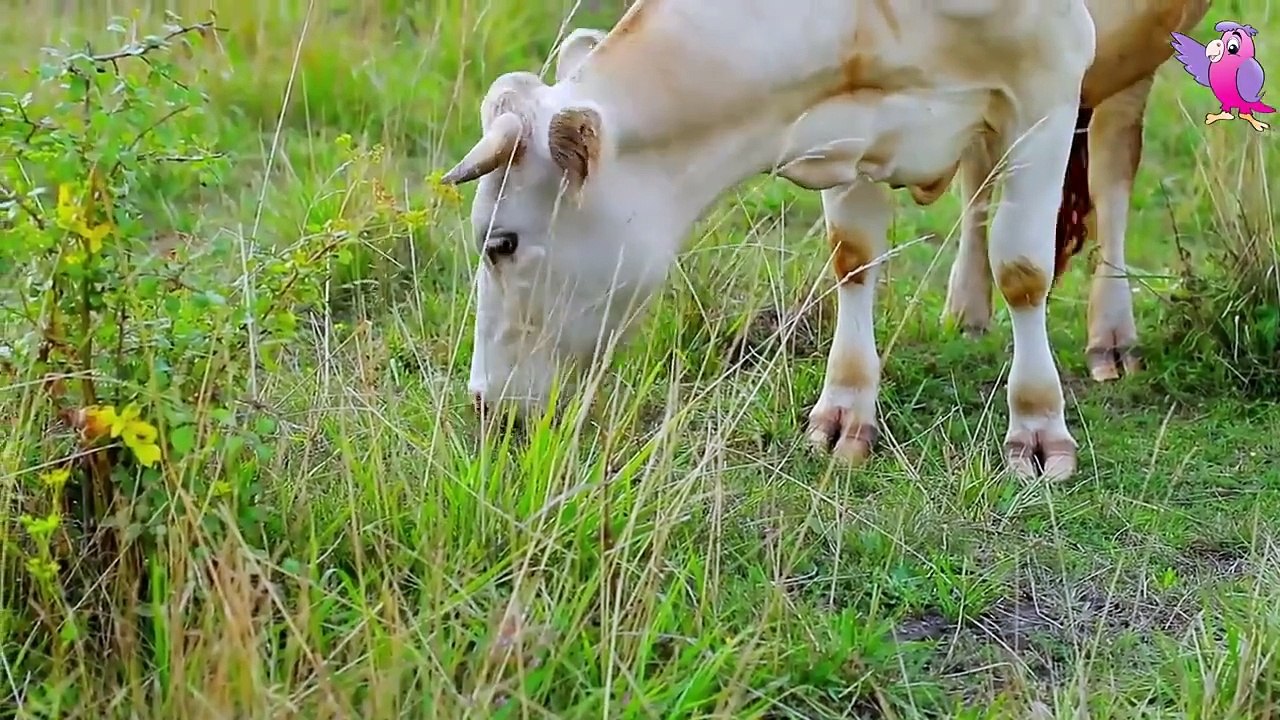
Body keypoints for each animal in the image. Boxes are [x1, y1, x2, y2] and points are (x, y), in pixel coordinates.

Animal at [437, 0, 1198, 481]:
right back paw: (967, 307)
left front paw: (1038, 425)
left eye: (502, 243)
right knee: (981, 183)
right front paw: (845, 413)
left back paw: (1112, 335)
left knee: (1113, 168)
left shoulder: (1049, 77)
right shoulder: (847, 122)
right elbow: (853, 259)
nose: (481, 403)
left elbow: (1025, 269)